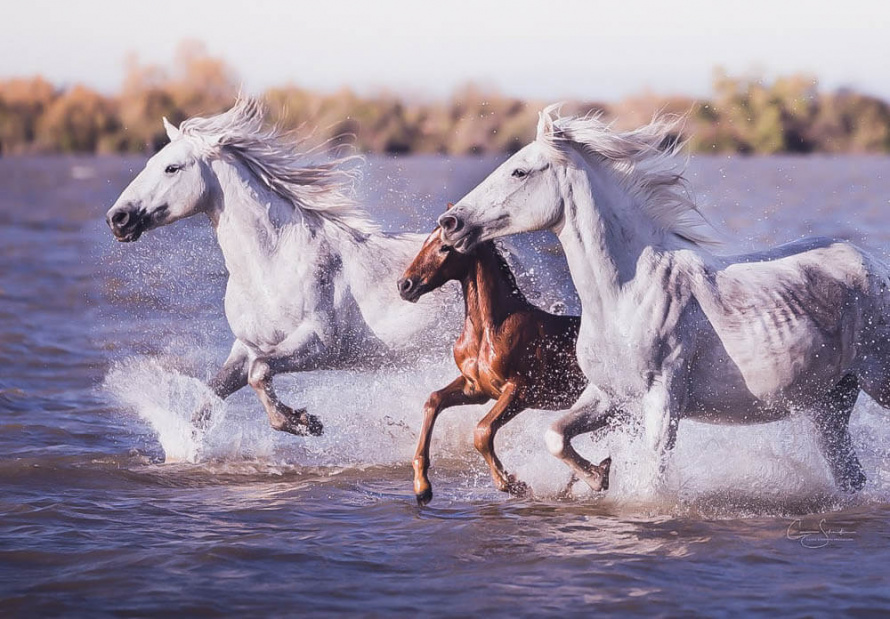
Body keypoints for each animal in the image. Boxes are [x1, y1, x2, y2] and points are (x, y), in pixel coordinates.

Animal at [106, 97, 457, 443]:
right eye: (150, 163)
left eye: (172, 168)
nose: (117, 219)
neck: (272, 264)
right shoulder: (246, 346)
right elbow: (211, 395)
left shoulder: (321, 344)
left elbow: (259, 372)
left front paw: (303, 422)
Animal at [398, 214, 592, 504]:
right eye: (425, 242)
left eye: (445, 248)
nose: (404, 285)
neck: (489, 331)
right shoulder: (476, 389)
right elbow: (433, 401)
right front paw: (422, 486)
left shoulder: (521, 391)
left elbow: (482, 431)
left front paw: (512, 483)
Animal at [437, 105, 890, 493]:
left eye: (519, 171)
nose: (450, 223)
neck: (624, 295)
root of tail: (873, 264)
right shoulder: (606, 394)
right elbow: (556, 435)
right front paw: (598, 477)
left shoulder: (663, 401)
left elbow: (651, 481)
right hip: (828, 405)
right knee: (850, 476)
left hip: (876, 382)